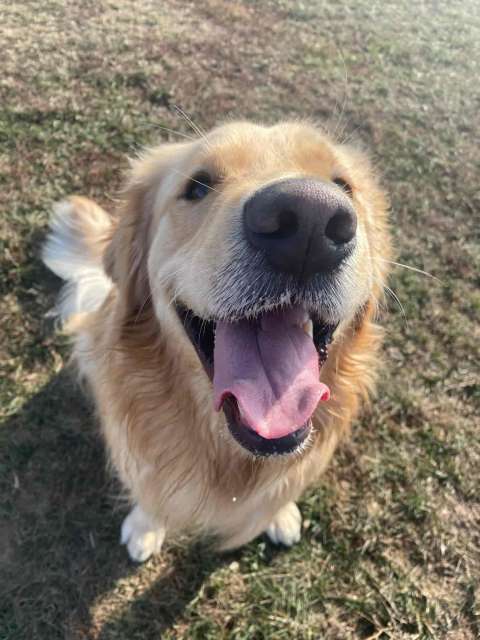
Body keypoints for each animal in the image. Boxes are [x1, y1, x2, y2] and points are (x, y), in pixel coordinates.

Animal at [43, 120, 392, 560]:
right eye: (197, 186)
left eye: (343, 185)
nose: (309, 221)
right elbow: (148, 488)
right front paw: (145, 527)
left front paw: (279, 515)